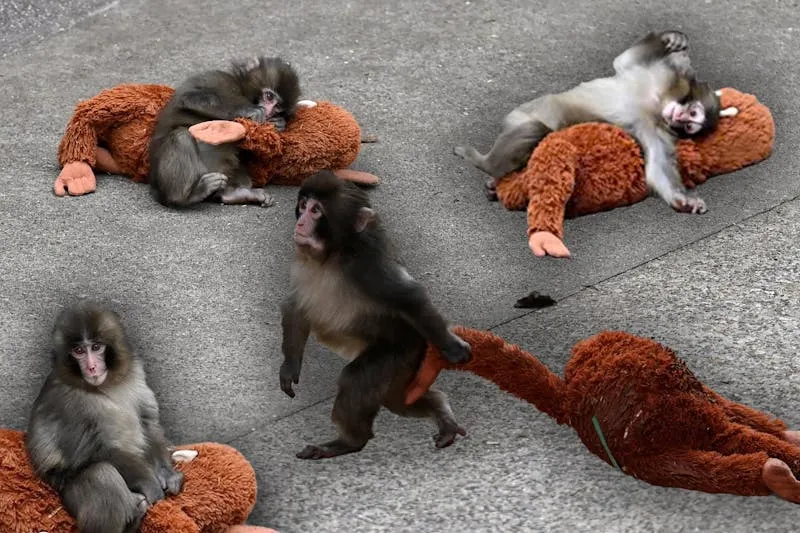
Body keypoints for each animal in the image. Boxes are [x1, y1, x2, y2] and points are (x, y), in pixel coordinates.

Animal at [26, 302, 183, 533]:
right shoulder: (67, 403)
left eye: (96, 347)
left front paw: (167, 474)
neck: (104, 385)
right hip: (65, 488)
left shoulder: (136, 373)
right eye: (79, 351)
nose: (92, 367)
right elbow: (97, 451)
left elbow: (147, 423)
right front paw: (152, 486)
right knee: (101, 473)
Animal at [148, 56, 301, 208]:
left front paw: (279, 123)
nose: (269, 112)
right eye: (269, 96)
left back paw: (233, 194)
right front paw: (250, 110)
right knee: (181, 137)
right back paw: (186, 196)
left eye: (278, 107)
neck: (240, 89)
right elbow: (189, 98)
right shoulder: (216, 78)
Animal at [279, 171, 472, 460]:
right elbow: (295, 306)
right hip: (403, 366)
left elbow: (409, 297)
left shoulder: (367, 265)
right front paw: (290, 366)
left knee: (357, 380)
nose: (301, 222)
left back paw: (350, 442)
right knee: (399, 400)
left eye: (316, 211)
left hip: (399, 352)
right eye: (303, 205)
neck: (333, 254)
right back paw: (442, 413)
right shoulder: (303, 261)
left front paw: (453, 347)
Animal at [455, 30, 721, 214]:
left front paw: (683, 200)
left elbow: (657, 168)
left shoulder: (657, 131)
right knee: (534, 127)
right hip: (518, 115)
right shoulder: (658, 76)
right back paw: (484, 164)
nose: (679, 119)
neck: (657, 105)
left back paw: (492, 172)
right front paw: (672, 38)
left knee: (536, 131)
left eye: (689, 126)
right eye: (692, 114)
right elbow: (624, 61)